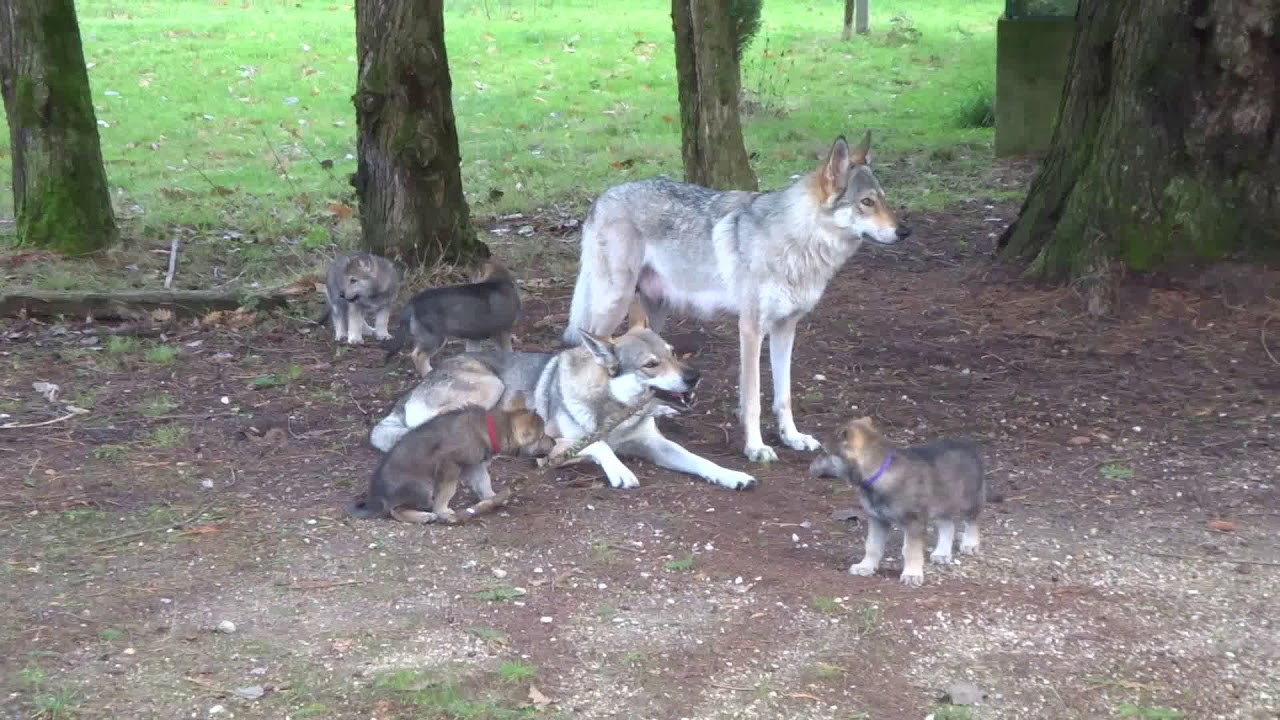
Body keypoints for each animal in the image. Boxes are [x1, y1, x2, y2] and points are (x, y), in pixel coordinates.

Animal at [345, 393, 556, 524]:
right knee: (395, 510)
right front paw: (443, 511)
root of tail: (377, 497)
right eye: (542, 436)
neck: (490, 429)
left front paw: (492, 498)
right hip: (423, 487)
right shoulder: (449, 464)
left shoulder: (475, 466)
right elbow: (447, 491)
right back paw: (423, 516)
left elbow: (484, 483)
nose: (555, 442)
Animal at [368, 312, 757, 491]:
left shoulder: (655, 444)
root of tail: (406, 398)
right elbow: (600, 445)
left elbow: (698, 460)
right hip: (490, 385)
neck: (613, 411)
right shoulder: (560, 437)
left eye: (673, 353)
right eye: (651, 365)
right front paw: (617, 469)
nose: (694, 377)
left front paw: (731, 475)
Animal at [382, 260, 522, 375]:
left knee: (416, 353)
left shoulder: (474, 337)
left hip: (424, 335)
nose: (469, 278)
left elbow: (472, 353)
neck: (500, 280)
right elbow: (508, 352)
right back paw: (428, 373)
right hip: (435, 337)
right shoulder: (502, 332)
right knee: (418, 355)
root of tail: (413, 301)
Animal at [562, 131, 911, 464]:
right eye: (866, 202)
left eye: (883, 200)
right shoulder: (751, 329)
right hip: (613, 303)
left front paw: (792, 438)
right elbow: (753, 398)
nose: (904, 232)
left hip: (652, 315)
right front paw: (755, 448)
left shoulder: (786, 328)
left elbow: (783, 396)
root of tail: (602, 197)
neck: (796, 243)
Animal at [809, 416, 986, 587]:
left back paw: (970, 544)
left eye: (824, 452)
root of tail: (970, 446)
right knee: (947, 526)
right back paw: (942, 553)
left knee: (972, 521)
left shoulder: (914, 521)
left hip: (968, 501)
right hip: (942, 502)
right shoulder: (877, 519)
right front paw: (865, 566)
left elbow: (910, 550)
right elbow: (872, 546)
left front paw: (912, 574)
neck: (879, 472)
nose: (809, 467)